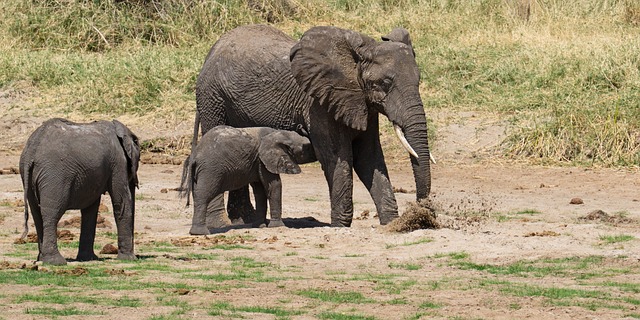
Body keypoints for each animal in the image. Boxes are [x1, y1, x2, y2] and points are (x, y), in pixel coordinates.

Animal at [19, 117, 140, 264]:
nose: (135, 256)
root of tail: (32, 148)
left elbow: (91, 209)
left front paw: (88, 259)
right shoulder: (118, 162)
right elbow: (122, 204)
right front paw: (129, 259)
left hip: (28, 175)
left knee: (37, 214)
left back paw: (43, 259)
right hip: (54, 176)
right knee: (52, 213)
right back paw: (57, 262)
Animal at [180, 125, 316, 235]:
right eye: (307, 148)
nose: (301, 127)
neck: (278, 133)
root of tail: (194, 155)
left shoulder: (257, 162)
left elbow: (260, 191)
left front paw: (260, 226)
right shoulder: (263, 160)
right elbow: (274, 186)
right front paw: (278, 227)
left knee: (198, 195)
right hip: (210, 170)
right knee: (204, 195)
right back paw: (200, 233)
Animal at [192, 23, 432, 226]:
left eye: (419, 80)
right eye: (384, 83)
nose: (423, 212)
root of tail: (211, 51)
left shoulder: (363, 104)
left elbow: (368, 158)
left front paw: (391, 223)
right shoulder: (318, 104)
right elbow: (337, 158)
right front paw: (340, 226)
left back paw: (245, 221)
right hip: (212, 97)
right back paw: (220, 224)